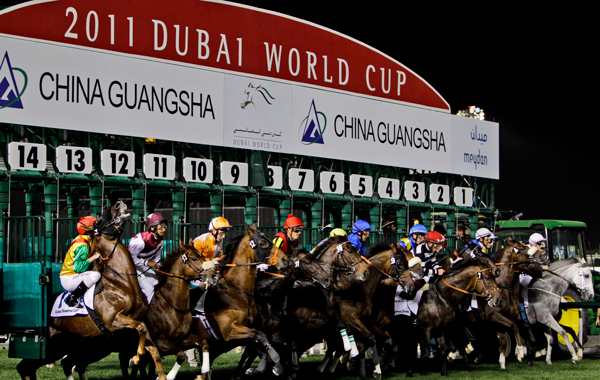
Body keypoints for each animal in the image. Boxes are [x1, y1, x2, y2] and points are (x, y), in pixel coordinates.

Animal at [15, 202, 169, 380]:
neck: (122, 282)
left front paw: (157, 372)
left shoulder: (134, 323)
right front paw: (134, 358)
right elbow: (141, 330)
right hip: (50, 346)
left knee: (31, 367)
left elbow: (153, 349)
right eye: (99, 221)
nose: (118, 204)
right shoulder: (113, 321)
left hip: (63, 345)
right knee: (25, 366)